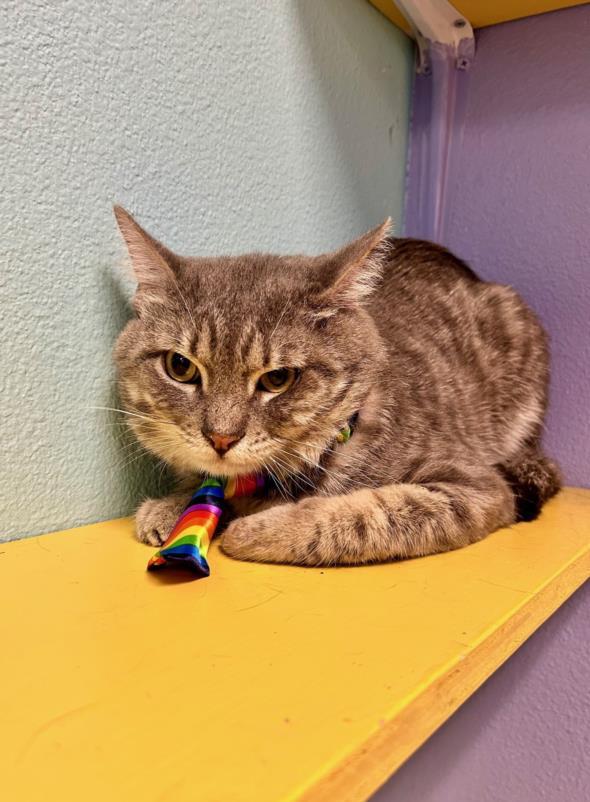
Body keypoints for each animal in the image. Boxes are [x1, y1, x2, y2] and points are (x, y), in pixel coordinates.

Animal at [113, 209, 560, 564]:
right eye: (180, 367)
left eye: (278, 378)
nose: (221, 438)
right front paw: (174, 506)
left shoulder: (475, 487)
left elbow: (371, 513)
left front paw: (259, 530)